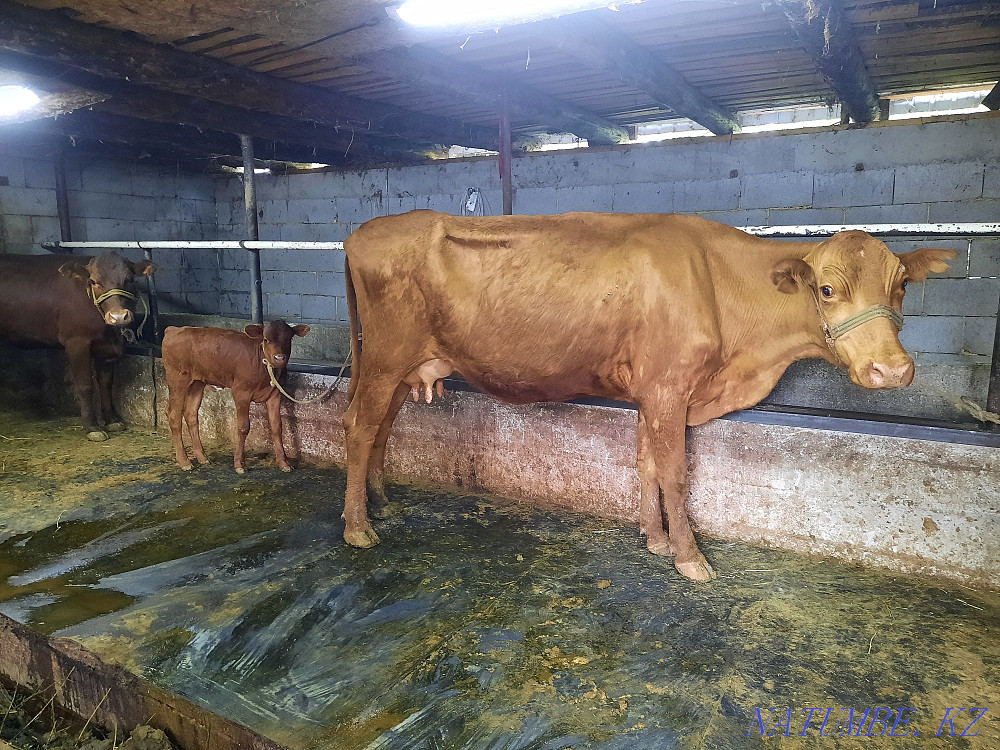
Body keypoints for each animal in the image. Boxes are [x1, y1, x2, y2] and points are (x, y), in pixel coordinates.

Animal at [0, 252, 155, 441]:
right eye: (94, 281)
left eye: (130, 279)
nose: (118, 317)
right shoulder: (76, 343)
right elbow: (85, 386)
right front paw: (92, 427)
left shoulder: (106, 349)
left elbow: (106, 383)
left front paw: (111, 420)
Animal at [162, 320, 309, 474]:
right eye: (265, 339)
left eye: (288, 339)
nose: (279, 358)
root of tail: (173, 329)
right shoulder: (240, 392)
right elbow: (243, 427)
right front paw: (239, 463)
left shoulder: (275, 394)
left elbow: (277, 427)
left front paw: (283, 463)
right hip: (178, 379)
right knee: (173, 415)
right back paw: (184, 461)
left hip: (197, 383)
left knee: (191, 414)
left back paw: (202, 457)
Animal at [339, 211, 957, 582]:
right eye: (827, 289)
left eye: (902, 285)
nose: (892, 370)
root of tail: (363, 231)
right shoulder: (668, 388)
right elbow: (677, 473)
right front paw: (689, 557)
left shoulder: (652, 393)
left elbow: (646, 466)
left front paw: (654, 539)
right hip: (384, 357)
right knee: (359, 426)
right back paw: (357, 527)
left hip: (404, 367)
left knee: (382, 424)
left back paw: (381, 501)